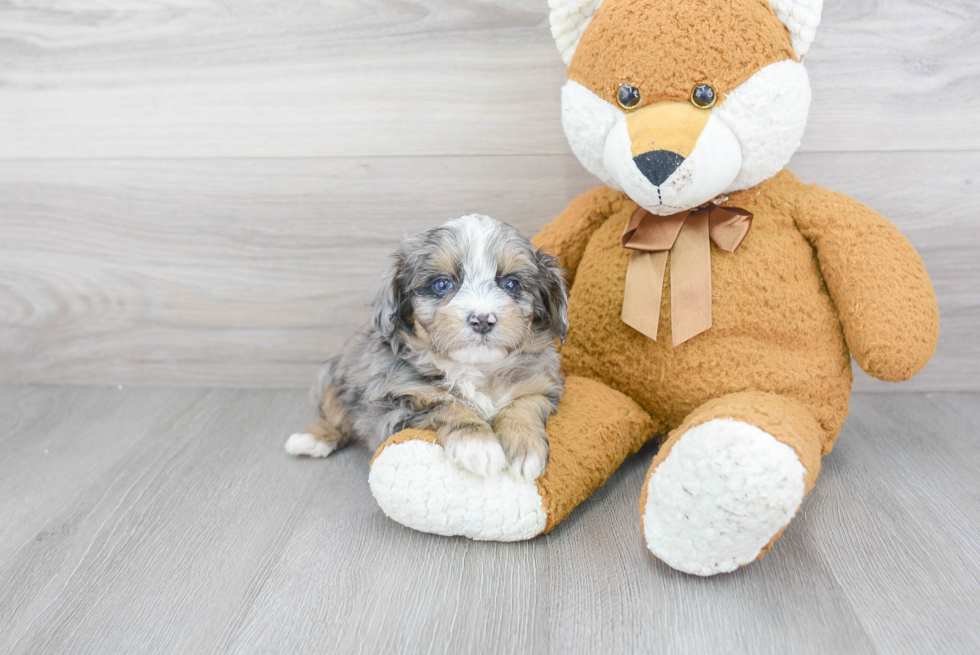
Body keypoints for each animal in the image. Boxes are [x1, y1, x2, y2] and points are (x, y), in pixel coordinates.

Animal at [284, 215, 568, 482]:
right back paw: (312, 439)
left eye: (511, 284)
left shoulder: (542, 385)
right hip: (331, 378)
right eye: (441, 284)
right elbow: (445, 405)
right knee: (335, 417)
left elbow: (524, 404)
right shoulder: (393, 403)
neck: (474, 368)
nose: (482, 319)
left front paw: (526, 447)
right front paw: (478, 444)